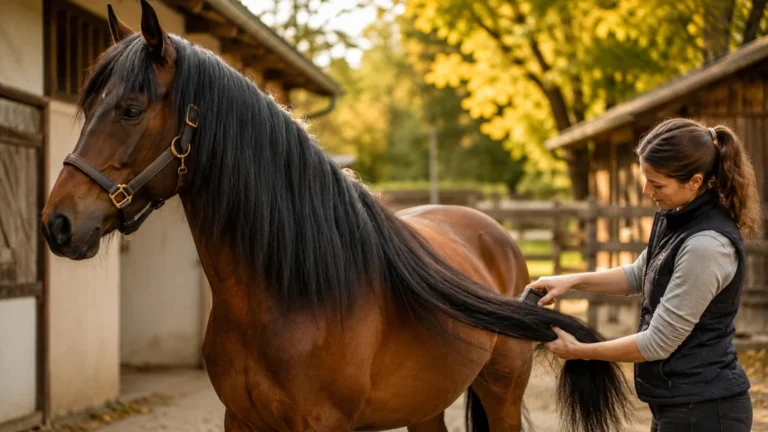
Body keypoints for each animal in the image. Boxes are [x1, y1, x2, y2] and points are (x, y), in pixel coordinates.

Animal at [40, 1, 632, 431]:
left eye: (131, 109)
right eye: (88, 107)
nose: (57, 223)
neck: (291, 292)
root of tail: (494, 234)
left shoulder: (322, 425)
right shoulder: (241, 421)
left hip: (502, 392)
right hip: (425, 407)